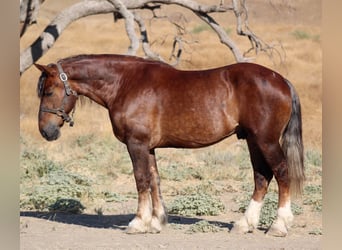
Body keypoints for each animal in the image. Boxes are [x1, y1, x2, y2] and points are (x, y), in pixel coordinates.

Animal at [34, 54, 304, 236]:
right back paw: (244, 224)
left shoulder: (136, 144)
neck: (125, 83)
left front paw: (138, 223)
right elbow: (154, 179)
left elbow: (141, 179)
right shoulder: (148, 147)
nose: (46, 131)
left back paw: (278, 226)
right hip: (253, 141)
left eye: (48, 92)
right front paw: (156, 222)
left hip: (265, 141)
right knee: (262, 177)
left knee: (281, 173)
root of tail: (281, 80)